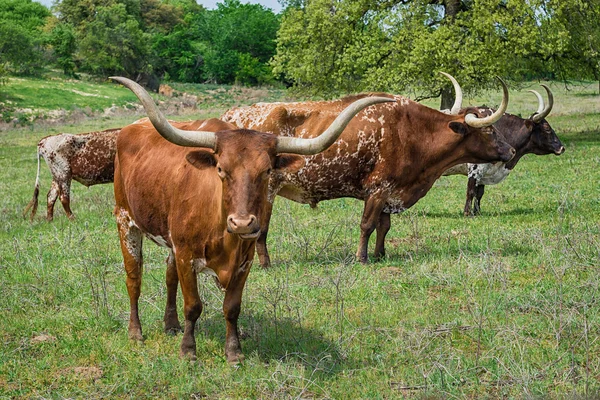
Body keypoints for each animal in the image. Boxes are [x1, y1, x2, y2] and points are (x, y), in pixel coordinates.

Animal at [110, 76, 394, 362]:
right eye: (220, 169)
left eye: (267, 170)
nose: (242, 223)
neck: (222, 231)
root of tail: (130, 128)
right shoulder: (186, 255)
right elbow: (193, 306)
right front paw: (188, 350)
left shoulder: (242, 262)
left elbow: (232, 307)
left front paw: (234, 352)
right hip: (125, 220)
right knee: (134, 279)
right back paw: (136, 332)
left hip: (169, 241)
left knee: (169, 277)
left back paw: (171, 325)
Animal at [220, 76, 516, 268]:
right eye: (489, 130)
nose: (511, 151)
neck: (414, 131)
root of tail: (233, 114)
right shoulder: (378, 189)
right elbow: (367, 225)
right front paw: (362, 258)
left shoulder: (390, 192)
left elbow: (384, 226)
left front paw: (380, 254)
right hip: (266, 190)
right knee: (261, 228)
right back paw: (264, 263)